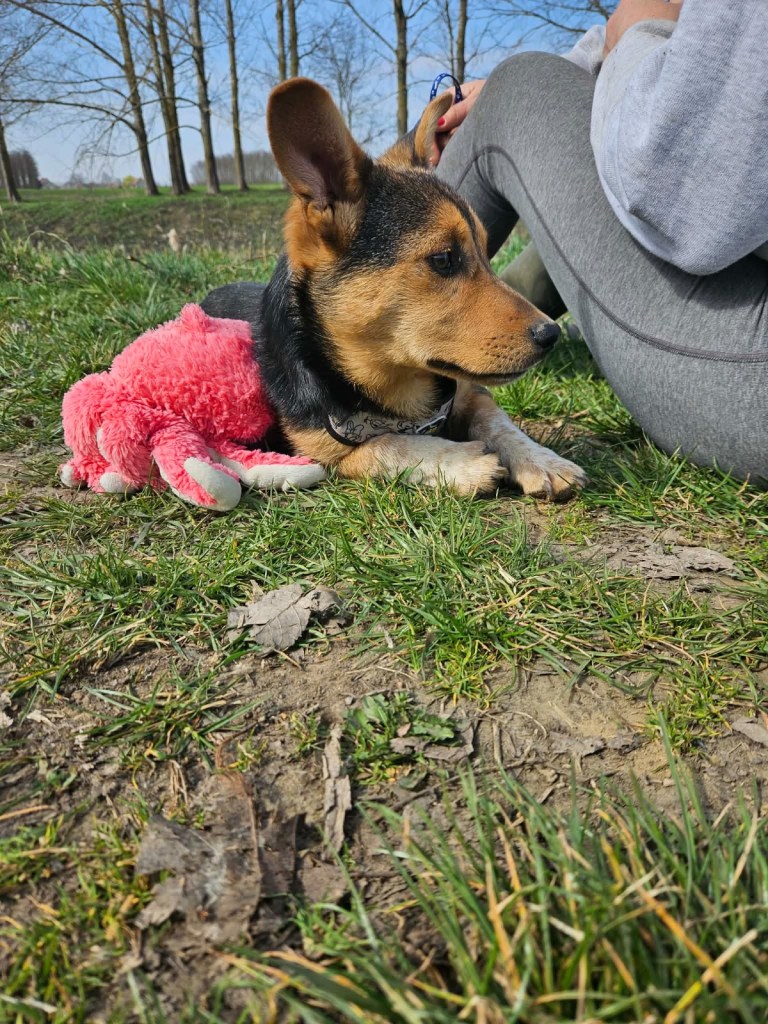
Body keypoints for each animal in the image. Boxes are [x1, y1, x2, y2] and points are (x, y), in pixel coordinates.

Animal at [202, 78, 587, 499]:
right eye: (443, 259)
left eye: (485, 251)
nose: (550, 334)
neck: (392, 383)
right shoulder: (326, 454)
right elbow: (390, 445)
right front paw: (463, 462)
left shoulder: (471, 392)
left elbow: (498, 421)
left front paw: (542, 460)